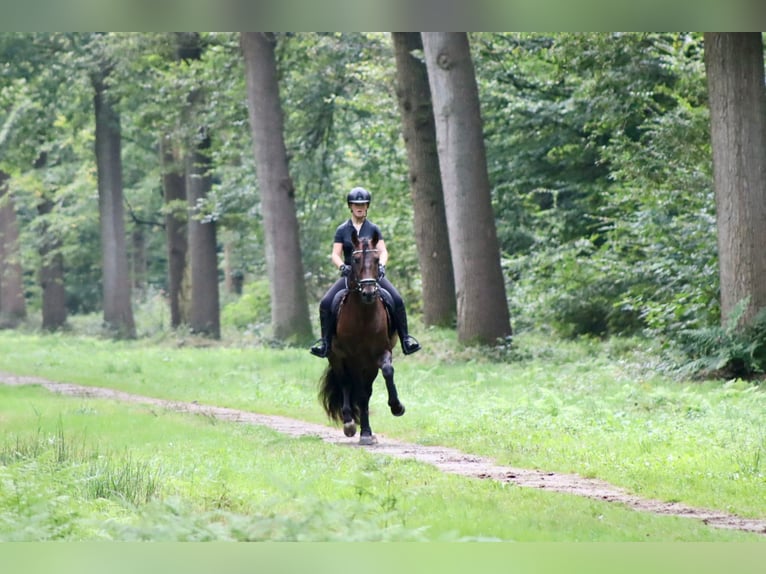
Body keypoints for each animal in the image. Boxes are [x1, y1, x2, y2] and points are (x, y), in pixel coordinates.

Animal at [318, 228, 408, 446]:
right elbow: (356, 391)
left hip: (368, 365)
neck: (364, 317)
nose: (368, 292)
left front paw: (396, 407)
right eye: (355, 259)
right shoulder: (353, 358)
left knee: (365, 391)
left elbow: (387, 371)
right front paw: (360, 430)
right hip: (337, 358)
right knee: (345, 384)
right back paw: (350, 423)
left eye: (376, 259)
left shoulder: (381, 352)